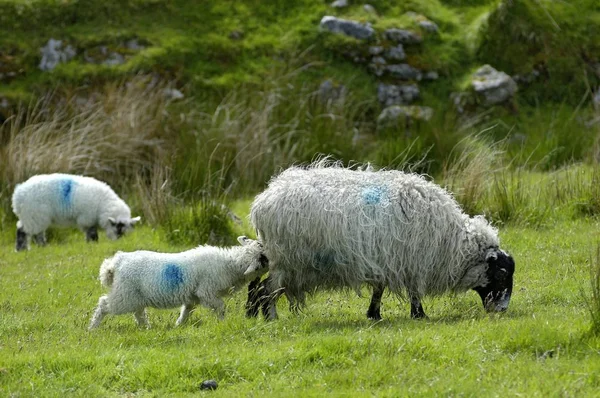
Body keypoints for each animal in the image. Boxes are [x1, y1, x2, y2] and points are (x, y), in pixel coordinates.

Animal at [10, 173, 142, 250]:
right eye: (118, 231)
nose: (119, 244)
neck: (103, 204)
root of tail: (18, 195)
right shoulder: (87, 218)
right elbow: (91, 233)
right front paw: (93, 244)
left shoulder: (89, 219)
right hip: (34, 215)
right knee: (26, 231)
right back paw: (32, 248)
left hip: (31, 216)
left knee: (27, 230)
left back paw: (31, 248)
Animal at [87, 236, 270, 330]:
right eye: (263, 257)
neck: (229, 265)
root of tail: (117, 261)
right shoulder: (206, 292)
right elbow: (220, 307)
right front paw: (223, 323)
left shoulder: (193, 296)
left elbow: (186, 311)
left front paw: (178, 325)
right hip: (124, 296)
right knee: (103, 305)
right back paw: (93, 328)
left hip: (134, 296)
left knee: (138, 313)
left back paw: (147, 328)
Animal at [248, 161, 516, 320]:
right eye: (501, 274)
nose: (502, 310)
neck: (450, 241)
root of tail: (264, 199)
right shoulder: (412, 262)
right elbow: (413, 291)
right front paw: (419, 315)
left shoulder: (386, 260)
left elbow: (379, 289)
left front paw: (374, 315)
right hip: (287, 261)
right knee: (266, 288)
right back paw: (271, 318)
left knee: (258, 286)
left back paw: (254, 316)